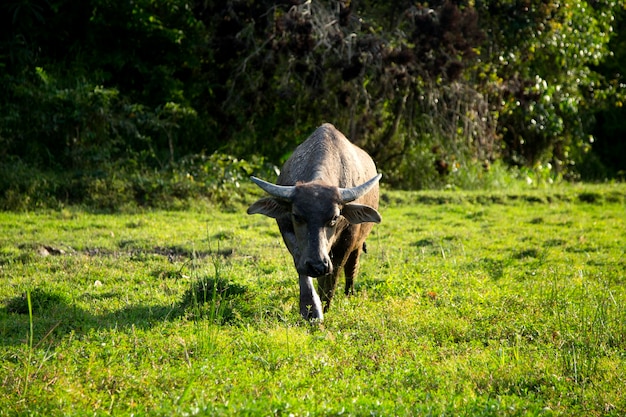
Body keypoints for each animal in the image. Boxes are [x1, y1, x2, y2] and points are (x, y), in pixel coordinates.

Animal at [246, 122, 378, 318]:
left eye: (335, 217)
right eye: (297, 216)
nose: (317, 265)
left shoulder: (346, 242)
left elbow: (333, 274)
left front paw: (325, 305)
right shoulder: (288, 232)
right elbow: (301, 265)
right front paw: (311, 309)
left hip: (358, 242)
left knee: (351, 267)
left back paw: (349, 293)